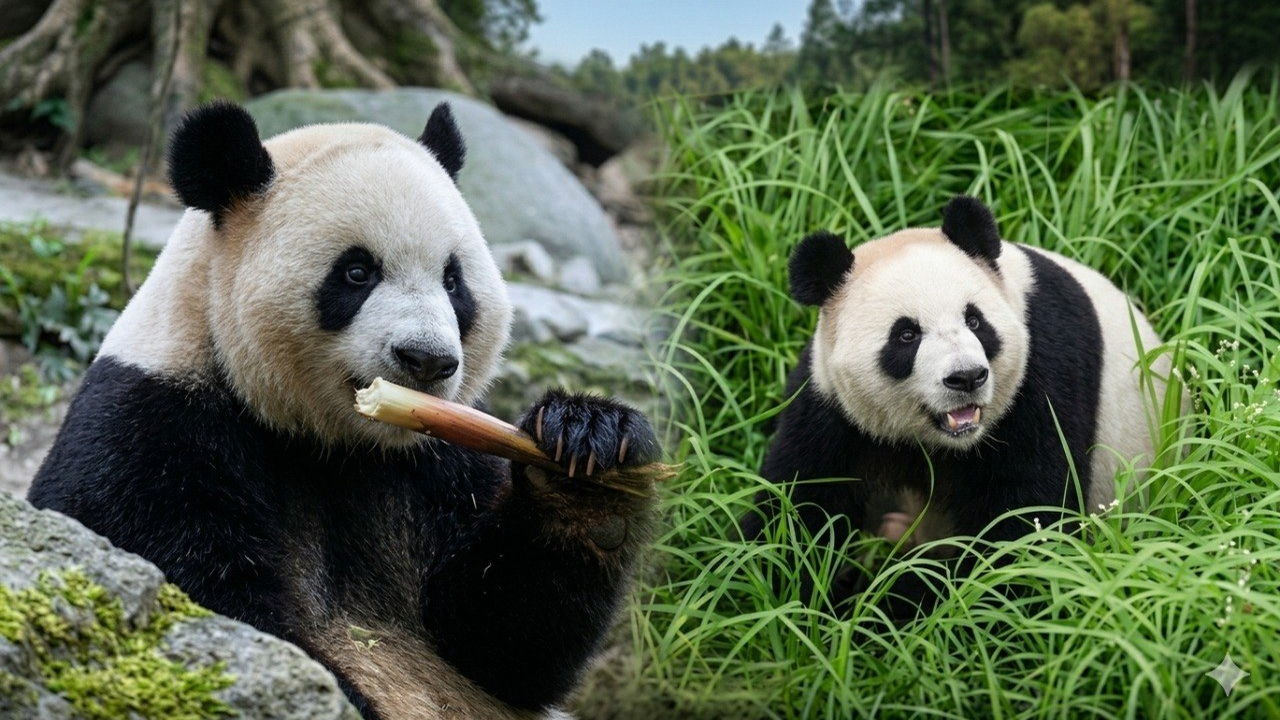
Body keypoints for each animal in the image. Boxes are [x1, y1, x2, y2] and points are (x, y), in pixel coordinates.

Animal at [28, 101, 661, 719]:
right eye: (357, 272)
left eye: (454, 280)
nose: (427, 360)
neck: (335, 443)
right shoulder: (152, 430)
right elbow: (208, 601)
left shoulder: (442, 461)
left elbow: (504, 643)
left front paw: (589, 456)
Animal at [743, 196, 1170, 614]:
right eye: (906, 334)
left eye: (975, 321)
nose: (966, 377)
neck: (942, 443)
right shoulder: (830, 405)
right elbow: (799, 504)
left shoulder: (1045, 373)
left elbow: (1021, 532)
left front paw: (887, 600)